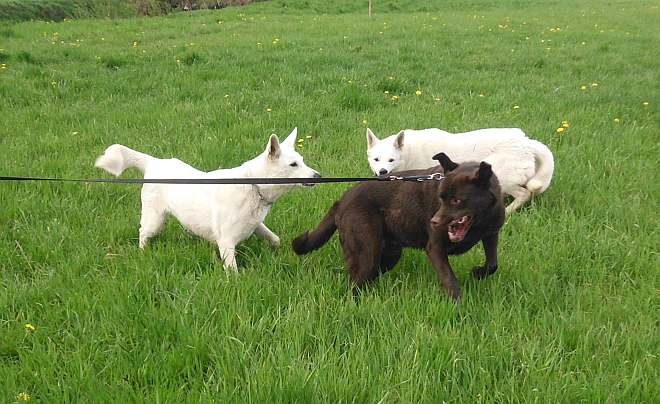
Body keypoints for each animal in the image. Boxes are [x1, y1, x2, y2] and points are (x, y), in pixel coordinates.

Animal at [95, 129, 320, 268]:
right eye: (293, 165)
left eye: (302, 161)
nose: (317, 176)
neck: (252, 185)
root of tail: (155, 162)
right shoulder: (226, 242)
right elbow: (233, 272)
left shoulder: (256, 225)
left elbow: (275, 239)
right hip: (155, 220)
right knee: (143, 233)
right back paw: (142, 253)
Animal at [292, 152, 506, 300]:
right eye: (441, 197)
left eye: (456, 200)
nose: (434, 222)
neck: (479, 221)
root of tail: (342, 200)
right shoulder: (435, 248)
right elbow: (449, 280)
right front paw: (458, 305)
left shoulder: (491, 234)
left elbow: (493, 264)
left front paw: (478, 273)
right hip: (367, 250)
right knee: (356, 281)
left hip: (389, 253)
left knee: (370, 276)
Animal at [364, 129, 556, 215]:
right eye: (376, 160)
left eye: (391, 160)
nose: (382, 172)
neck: (407, 153)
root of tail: (526, 142)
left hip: (501, 176)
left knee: (524, 194)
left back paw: (507, 212)